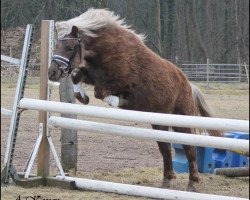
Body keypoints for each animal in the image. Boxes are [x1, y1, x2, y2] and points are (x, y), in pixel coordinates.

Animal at [48, 8, 221, 191]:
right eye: (56, 46)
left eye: (70, 47)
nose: (52, 73)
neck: (107, 51)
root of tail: (189, 85)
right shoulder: (91, 74)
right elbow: (76, 75)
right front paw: (82, 97)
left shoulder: (122, 83)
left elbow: (100, 92)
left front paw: (117, 101)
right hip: (159, 121)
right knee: (165, 148)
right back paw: (167, 180)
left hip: (181, 119)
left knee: (189, 148)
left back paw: (192, 183)